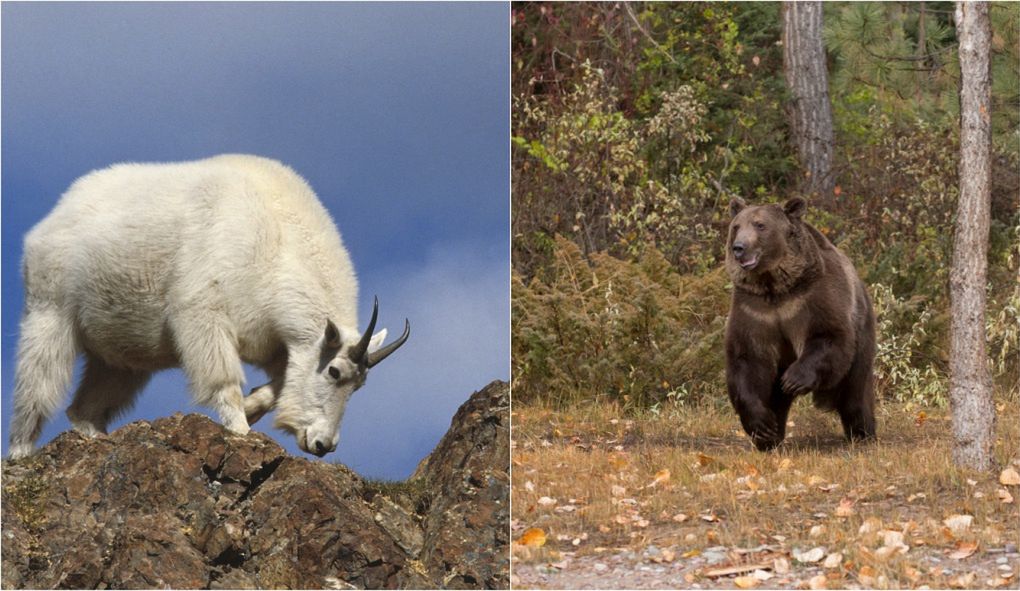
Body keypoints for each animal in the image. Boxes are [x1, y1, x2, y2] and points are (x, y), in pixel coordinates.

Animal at [7, 155, 408, 459]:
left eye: (360, 385)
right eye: (335, 372)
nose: (324, 444)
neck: (275, 245)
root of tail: (50, 220)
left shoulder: (276, 342)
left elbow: (277, 387)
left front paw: (252, 408)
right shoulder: (203, 315)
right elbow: (224, 380)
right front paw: (240, 428)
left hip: (121, 356)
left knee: (85, 406)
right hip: (49, 313)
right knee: (36, 388)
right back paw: (20, 453)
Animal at [726, 197, 877, 451]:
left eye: (760, 225)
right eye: (736, 226)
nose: (739, 248)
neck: (775, 287)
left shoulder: (814, 298)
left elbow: (828, 336)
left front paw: (794, 379)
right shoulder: (754, 310)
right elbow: (747, 359)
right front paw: (762, 426)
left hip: (862, 333)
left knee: (856, 392)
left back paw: (862, 433)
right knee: (775, 397)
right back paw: (770, 437)